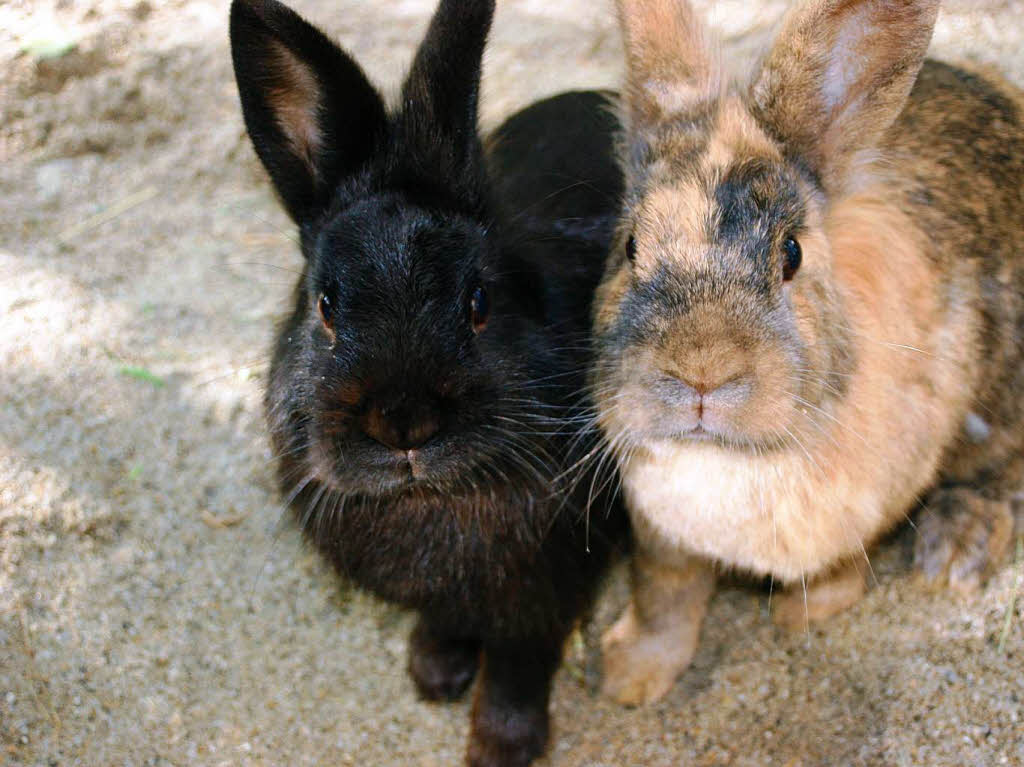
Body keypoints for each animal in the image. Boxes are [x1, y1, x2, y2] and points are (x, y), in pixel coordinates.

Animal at [229, 2, 626, 761]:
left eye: (479, 301)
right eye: (325, 305)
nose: (403, 421)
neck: (430, 497)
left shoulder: (542, 594)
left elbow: (517, 667)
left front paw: (500, 747)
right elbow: (447, 624)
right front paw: (433, 673)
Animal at [593, 0, 1024, 704]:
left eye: (790, 253)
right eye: (630, 247)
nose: (701, 372)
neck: (729, 459)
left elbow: (837, 570)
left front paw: (803, 616)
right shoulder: (661, 541)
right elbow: (666, 599)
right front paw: (628, 677)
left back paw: (955, 551)